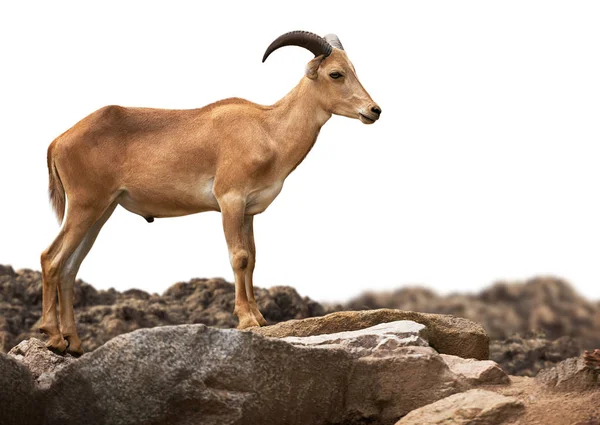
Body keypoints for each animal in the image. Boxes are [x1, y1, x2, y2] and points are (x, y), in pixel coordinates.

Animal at [39, 29, 382, 354]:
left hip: (101, 212)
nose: (374, 110)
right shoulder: (230, 200)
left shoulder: (248, 211)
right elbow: (239, 257)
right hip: (85, 206)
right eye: (335, 73)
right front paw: (246, 319)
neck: (267, 130)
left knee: (70, 268)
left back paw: (75, 344)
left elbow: (252, 258)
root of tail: (58, 141)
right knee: (51, 259)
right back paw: (53, 337)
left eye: (353, 69)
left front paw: (259, 318)